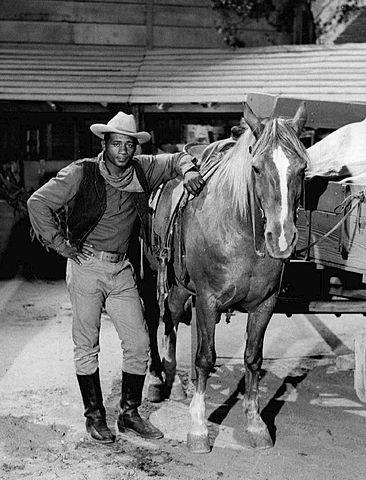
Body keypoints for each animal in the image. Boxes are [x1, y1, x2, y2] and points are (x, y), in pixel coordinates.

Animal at [144, 101, 308, 454]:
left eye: (302, 168)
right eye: (256, 168)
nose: (282, 239)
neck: (239, 228)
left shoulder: (265, 304)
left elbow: (253, 360)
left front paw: (256, 425)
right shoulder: (208, 300)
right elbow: (205, 359)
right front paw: (198, 429)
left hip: (180, 286)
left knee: (172, 318)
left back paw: (174, 385)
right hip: (152, 278)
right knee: (155, 322)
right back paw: (156, 381)